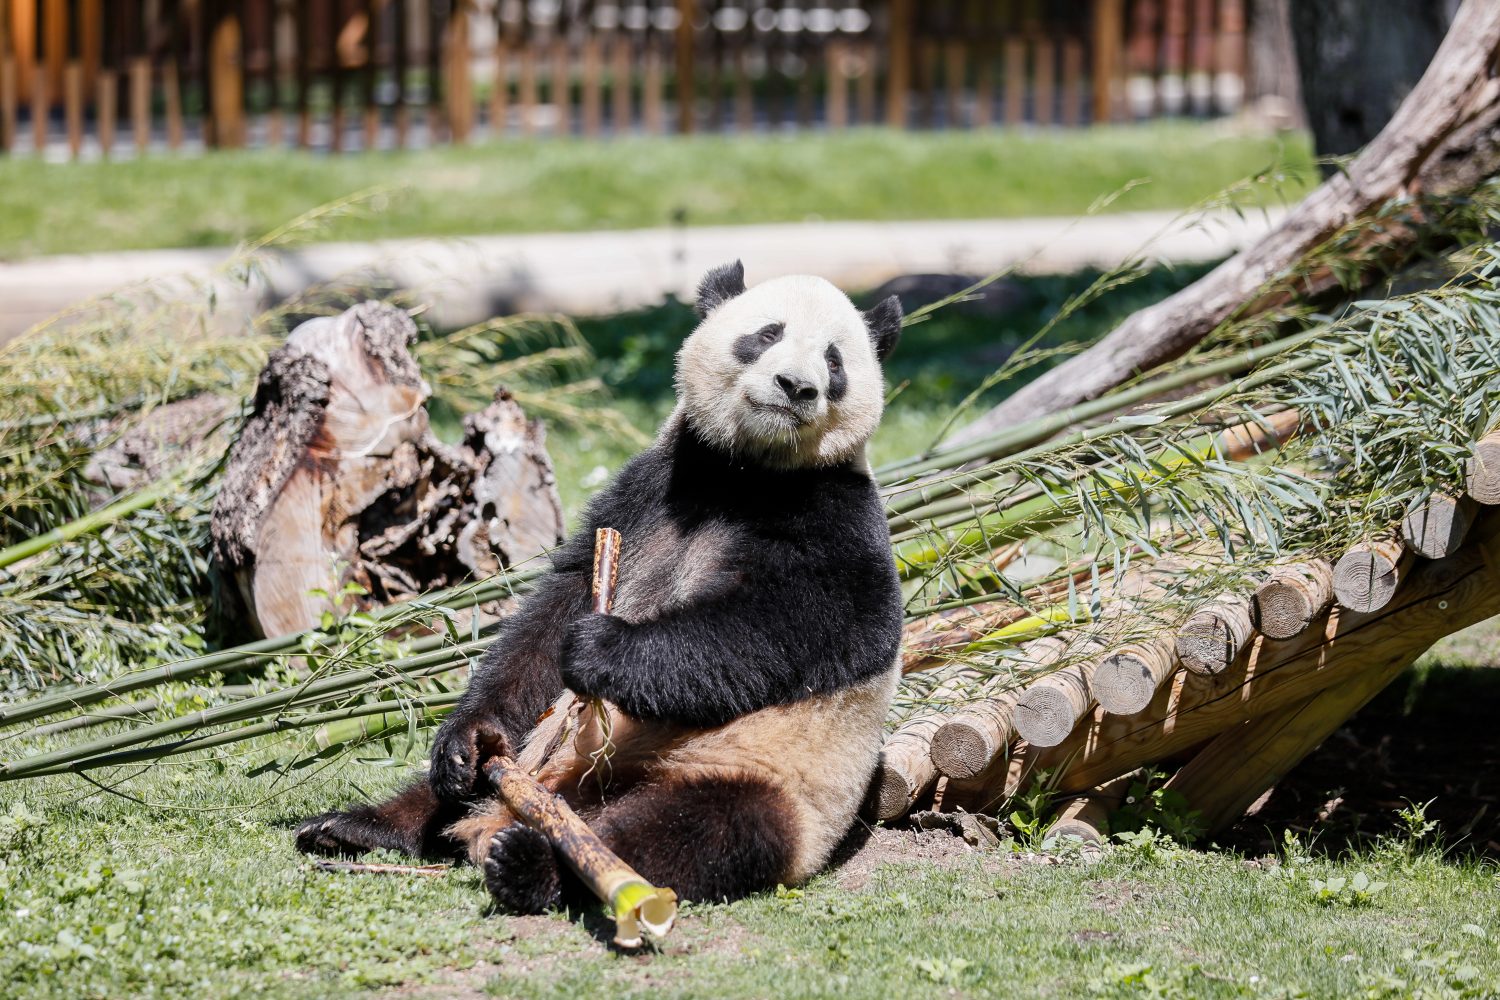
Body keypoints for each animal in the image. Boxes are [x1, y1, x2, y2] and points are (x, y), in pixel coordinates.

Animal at [296, 261, 905, 912]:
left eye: (835, 362)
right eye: (766, 334)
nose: (796, 386)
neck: (747, 473)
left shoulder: (837, 513)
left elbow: (796, 622)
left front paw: (602, 650)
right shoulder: (650, 487)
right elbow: (549, 613)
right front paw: (465, 739)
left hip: (764, 779)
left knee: (693, 831)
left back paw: (536, 863)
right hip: (539, 754)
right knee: (449, 791)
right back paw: (361, 823)